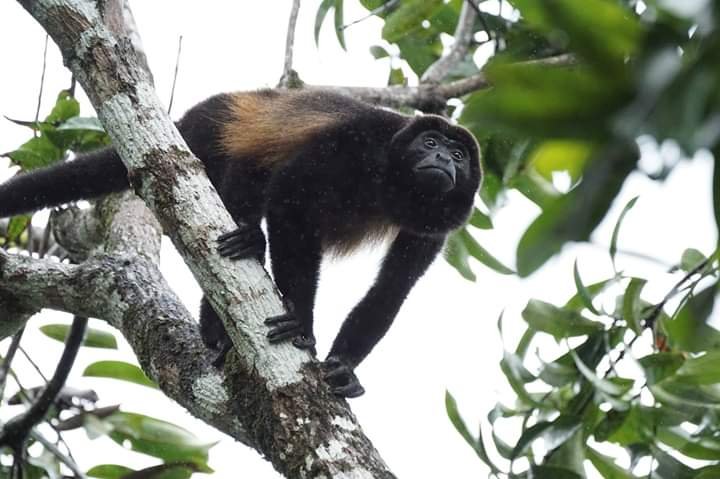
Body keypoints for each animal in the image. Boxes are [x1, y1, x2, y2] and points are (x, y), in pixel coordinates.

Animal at [0, 89, 481, 398]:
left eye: (459, 157)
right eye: (430, 142)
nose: (443, 158)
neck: (392, 184)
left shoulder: (436, 229)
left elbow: (391, 289)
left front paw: (344, 367)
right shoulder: (364, 139)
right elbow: (291, 193)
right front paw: (301, 318)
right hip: (207, 135)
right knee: (244, 176)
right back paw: (237, 277)